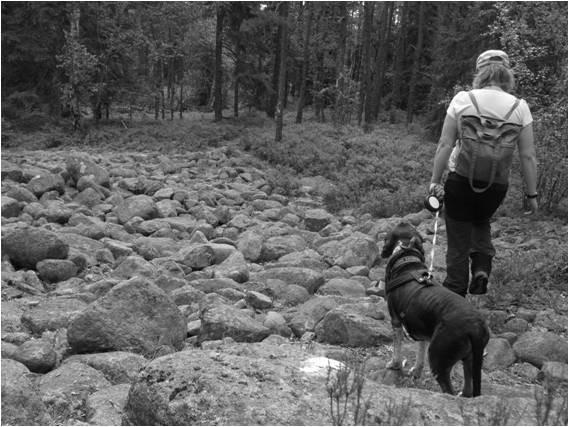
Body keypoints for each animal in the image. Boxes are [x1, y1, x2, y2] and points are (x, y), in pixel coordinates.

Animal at [380, 224, 490, 398]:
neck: (407, 259)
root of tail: (475, 327)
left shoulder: (396, 320)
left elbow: (397, 347)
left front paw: (394, 364)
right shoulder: (421, 328)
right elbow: (420, 351)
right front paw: (416, 371)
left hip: (439, 358)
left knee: (448, 390)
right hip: (470, 359)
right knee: (467, 387)